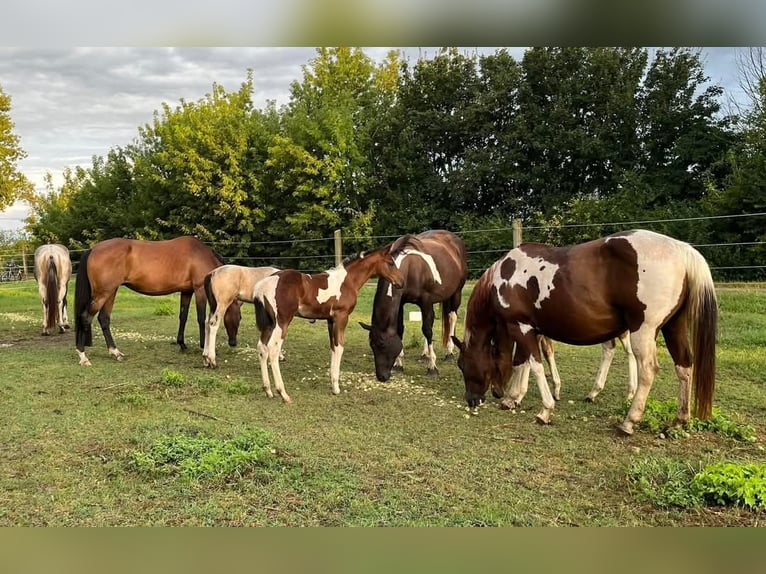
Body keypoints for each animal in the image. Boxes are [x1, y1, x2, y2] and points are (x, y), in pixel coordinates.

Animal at [74, 236, 243, 366]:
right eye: (238, 317)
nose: (233, 342)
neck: (200, 255)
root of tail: (93, 249)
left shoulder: (186, 292)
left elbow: (183, 317)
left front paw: (182, 344)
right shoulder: (199, 289)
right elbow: (202, 319)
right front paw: (203, 346)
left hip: (110, 292)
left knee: (104, 319)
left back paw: (115, 352)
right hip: (103, 293)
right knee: (86, 317)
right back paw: (83, 356)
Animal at [252, 234, 424, 404]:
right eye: (390, 263)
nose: (401, 282)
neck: (347, 281)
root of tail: (262, 285)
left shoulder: (330, 320)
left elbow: (333, 347)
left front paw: (333, 383)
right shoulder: (342, 317)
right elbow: (340, 346)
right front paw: (336, 387)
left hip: (269, 324)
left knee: (262, 347)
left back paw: (268, 390)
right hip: (282, 322)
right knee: (273, 349)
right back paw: (283, 393)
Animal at [358, 230, 468, 382]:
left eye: (382, 344)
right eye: (371, 345)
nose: (381, 376)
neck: (409, 268)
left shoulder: (426, 301)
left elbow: (427, 329)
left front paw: (432, 367)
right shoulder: (401, 302)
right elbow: (401, 329)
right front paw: (399, 365)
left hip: (456, 292)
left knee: (452, 317)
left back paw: (449, 353)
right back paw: (424, 354)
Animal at [452, 230, 716, 436]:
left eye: (462, 365)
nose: (472, 400)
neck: (505, 277)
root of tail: (682, 250)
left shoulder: (522, 327)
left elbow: (534, 365)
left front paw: (544, 410)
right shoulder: (529, 329)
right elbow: (522, 363)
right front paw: (513, 398)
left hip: (643, 330)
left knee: (648, 370)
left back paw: (628, 422)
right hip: (674, 326)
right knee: (684, 366)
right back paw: (679, 420)